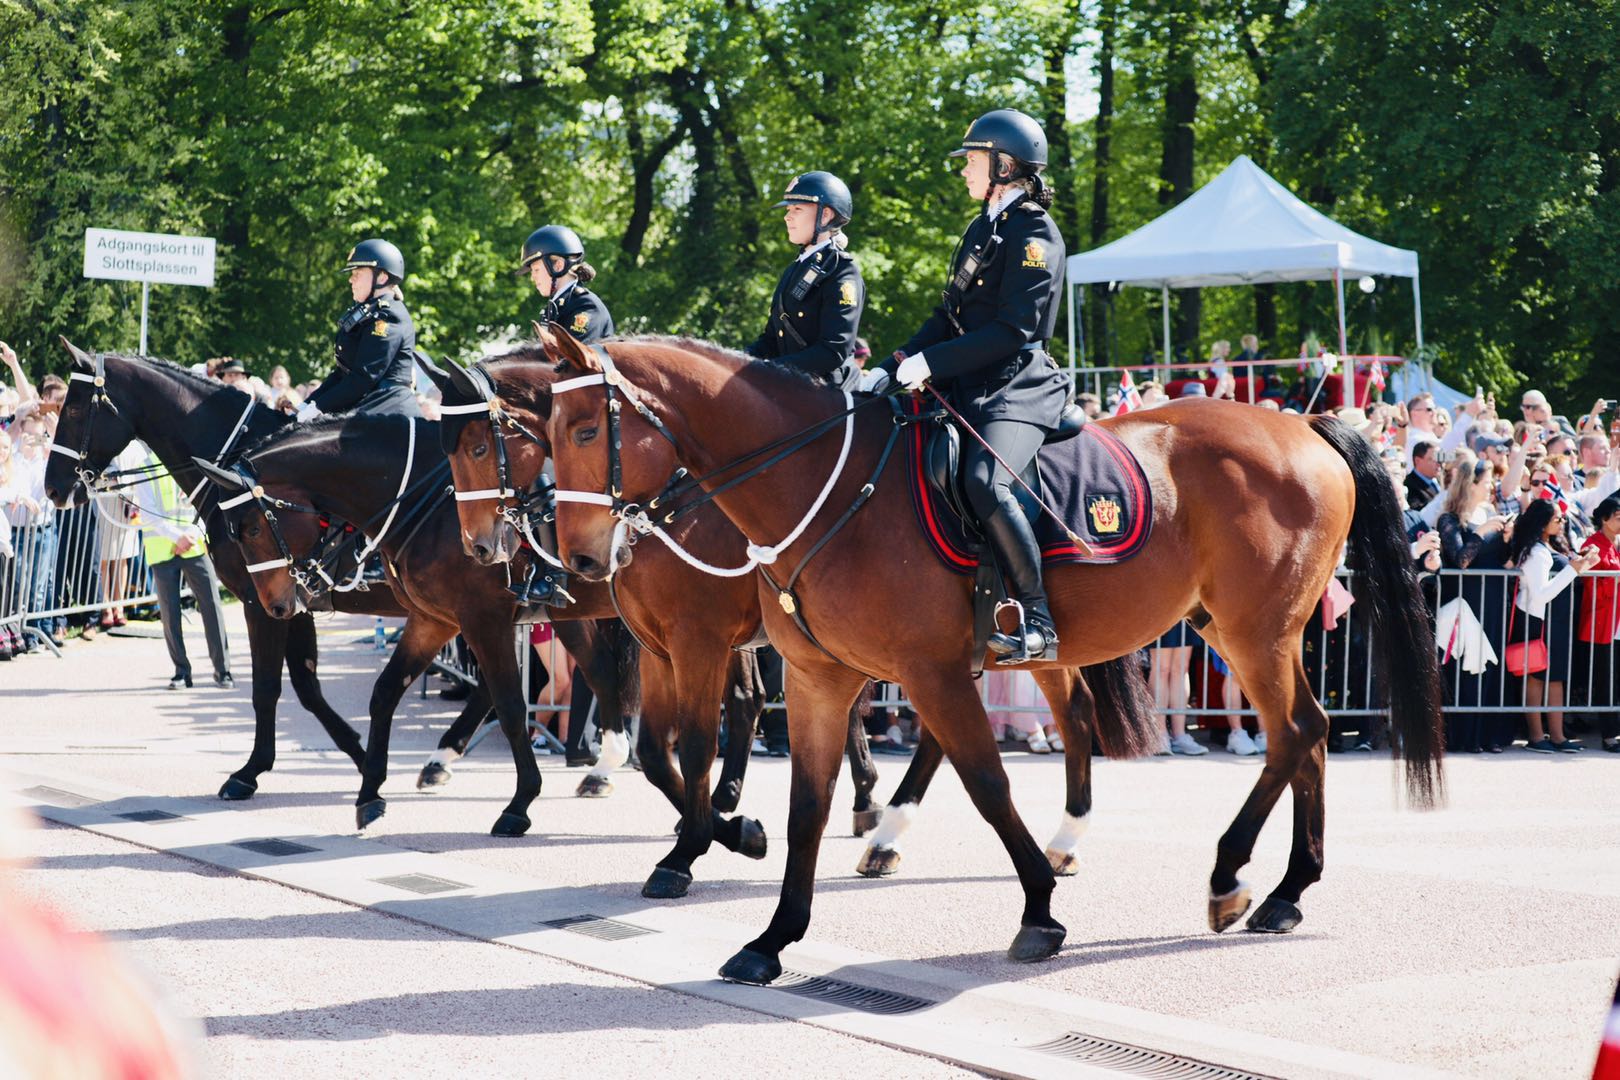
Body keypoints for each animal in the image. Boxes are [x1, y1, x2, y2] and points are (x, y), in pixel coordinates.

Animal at [541, 333, 1445, 984]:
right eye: (544, 432)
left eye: (585, 429)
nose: (577, 558)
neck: (819, 488)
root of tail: (1301, 425)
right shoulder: (815, 677)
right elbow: (805, 806)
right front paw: (773, 936)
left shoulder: (919, 670)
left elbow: (986, 783)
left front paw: (1038, 911)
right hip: (1236, 631)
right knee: (1310, 730)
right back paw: (1287, 891)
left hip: (1254, 632)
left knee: (1291, 733)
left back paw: (1230, 877)